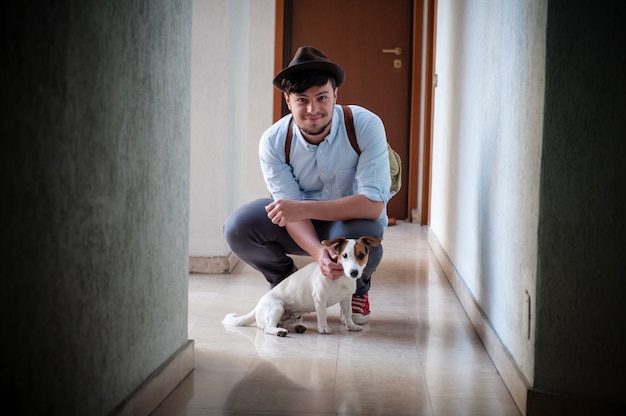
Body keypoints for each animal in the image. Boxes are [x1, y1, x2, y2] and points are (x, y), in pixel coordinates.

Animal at [224, 236, 380, 336]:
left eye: (361, 255)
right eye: (345, 256)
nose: (354, 272)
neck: (341, 279)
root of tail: (257, 307)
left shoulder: (346, 299)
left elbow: (348, 314)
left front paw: (351, 325)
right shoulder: (320, 298)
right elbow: (322, 314)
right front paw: (323, 328)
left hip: (296, 315)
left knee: (280, 324)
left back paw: (295, 328)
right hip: (277, 308)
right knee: (269, 327)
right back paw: (279, 332)